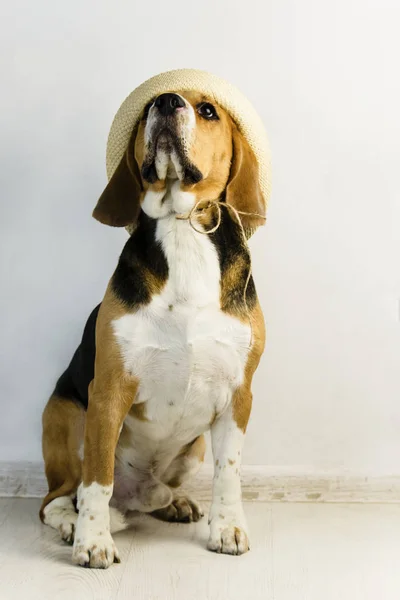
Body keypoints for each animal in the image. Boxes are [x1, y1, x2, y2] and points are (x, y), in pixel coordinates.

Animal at [39, 89, 266, 568]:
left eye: (208, 110)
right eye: (147, 110)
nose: (166, 101)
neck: (183, 229)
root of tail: (138, 492)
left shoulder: (239, 395)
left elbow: (229, 473)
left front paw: (227, 528)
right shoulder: (108, 391)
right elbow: (97, 480)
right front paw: (93, 540)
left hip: (193, 449)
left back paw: (171, 502)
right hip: (70, 416)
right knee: (58, 498)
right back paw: (72, 523)